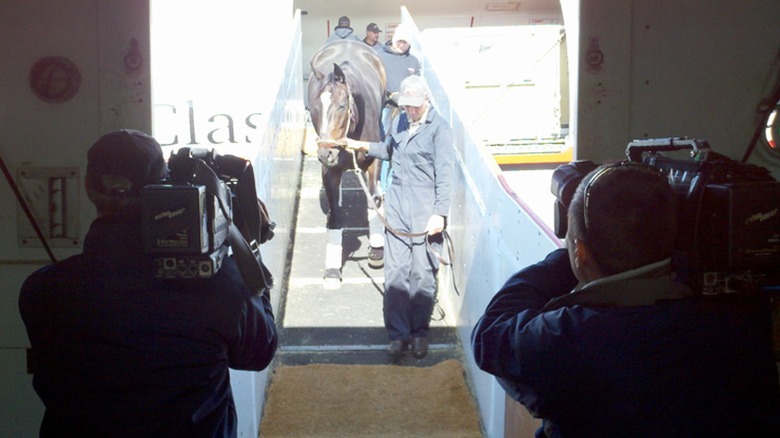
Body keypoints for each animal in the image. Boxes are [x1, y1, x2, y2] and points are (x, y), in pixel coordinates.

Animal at [308, 40, 386, 288]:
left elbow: (373, 200)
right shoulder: (329, 170)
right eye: (315, 108)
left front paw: (376, 251)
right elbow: (335, 217)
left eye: (342, 106)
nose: (325, 153)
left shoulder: (374, 161)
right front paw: (332, 270)